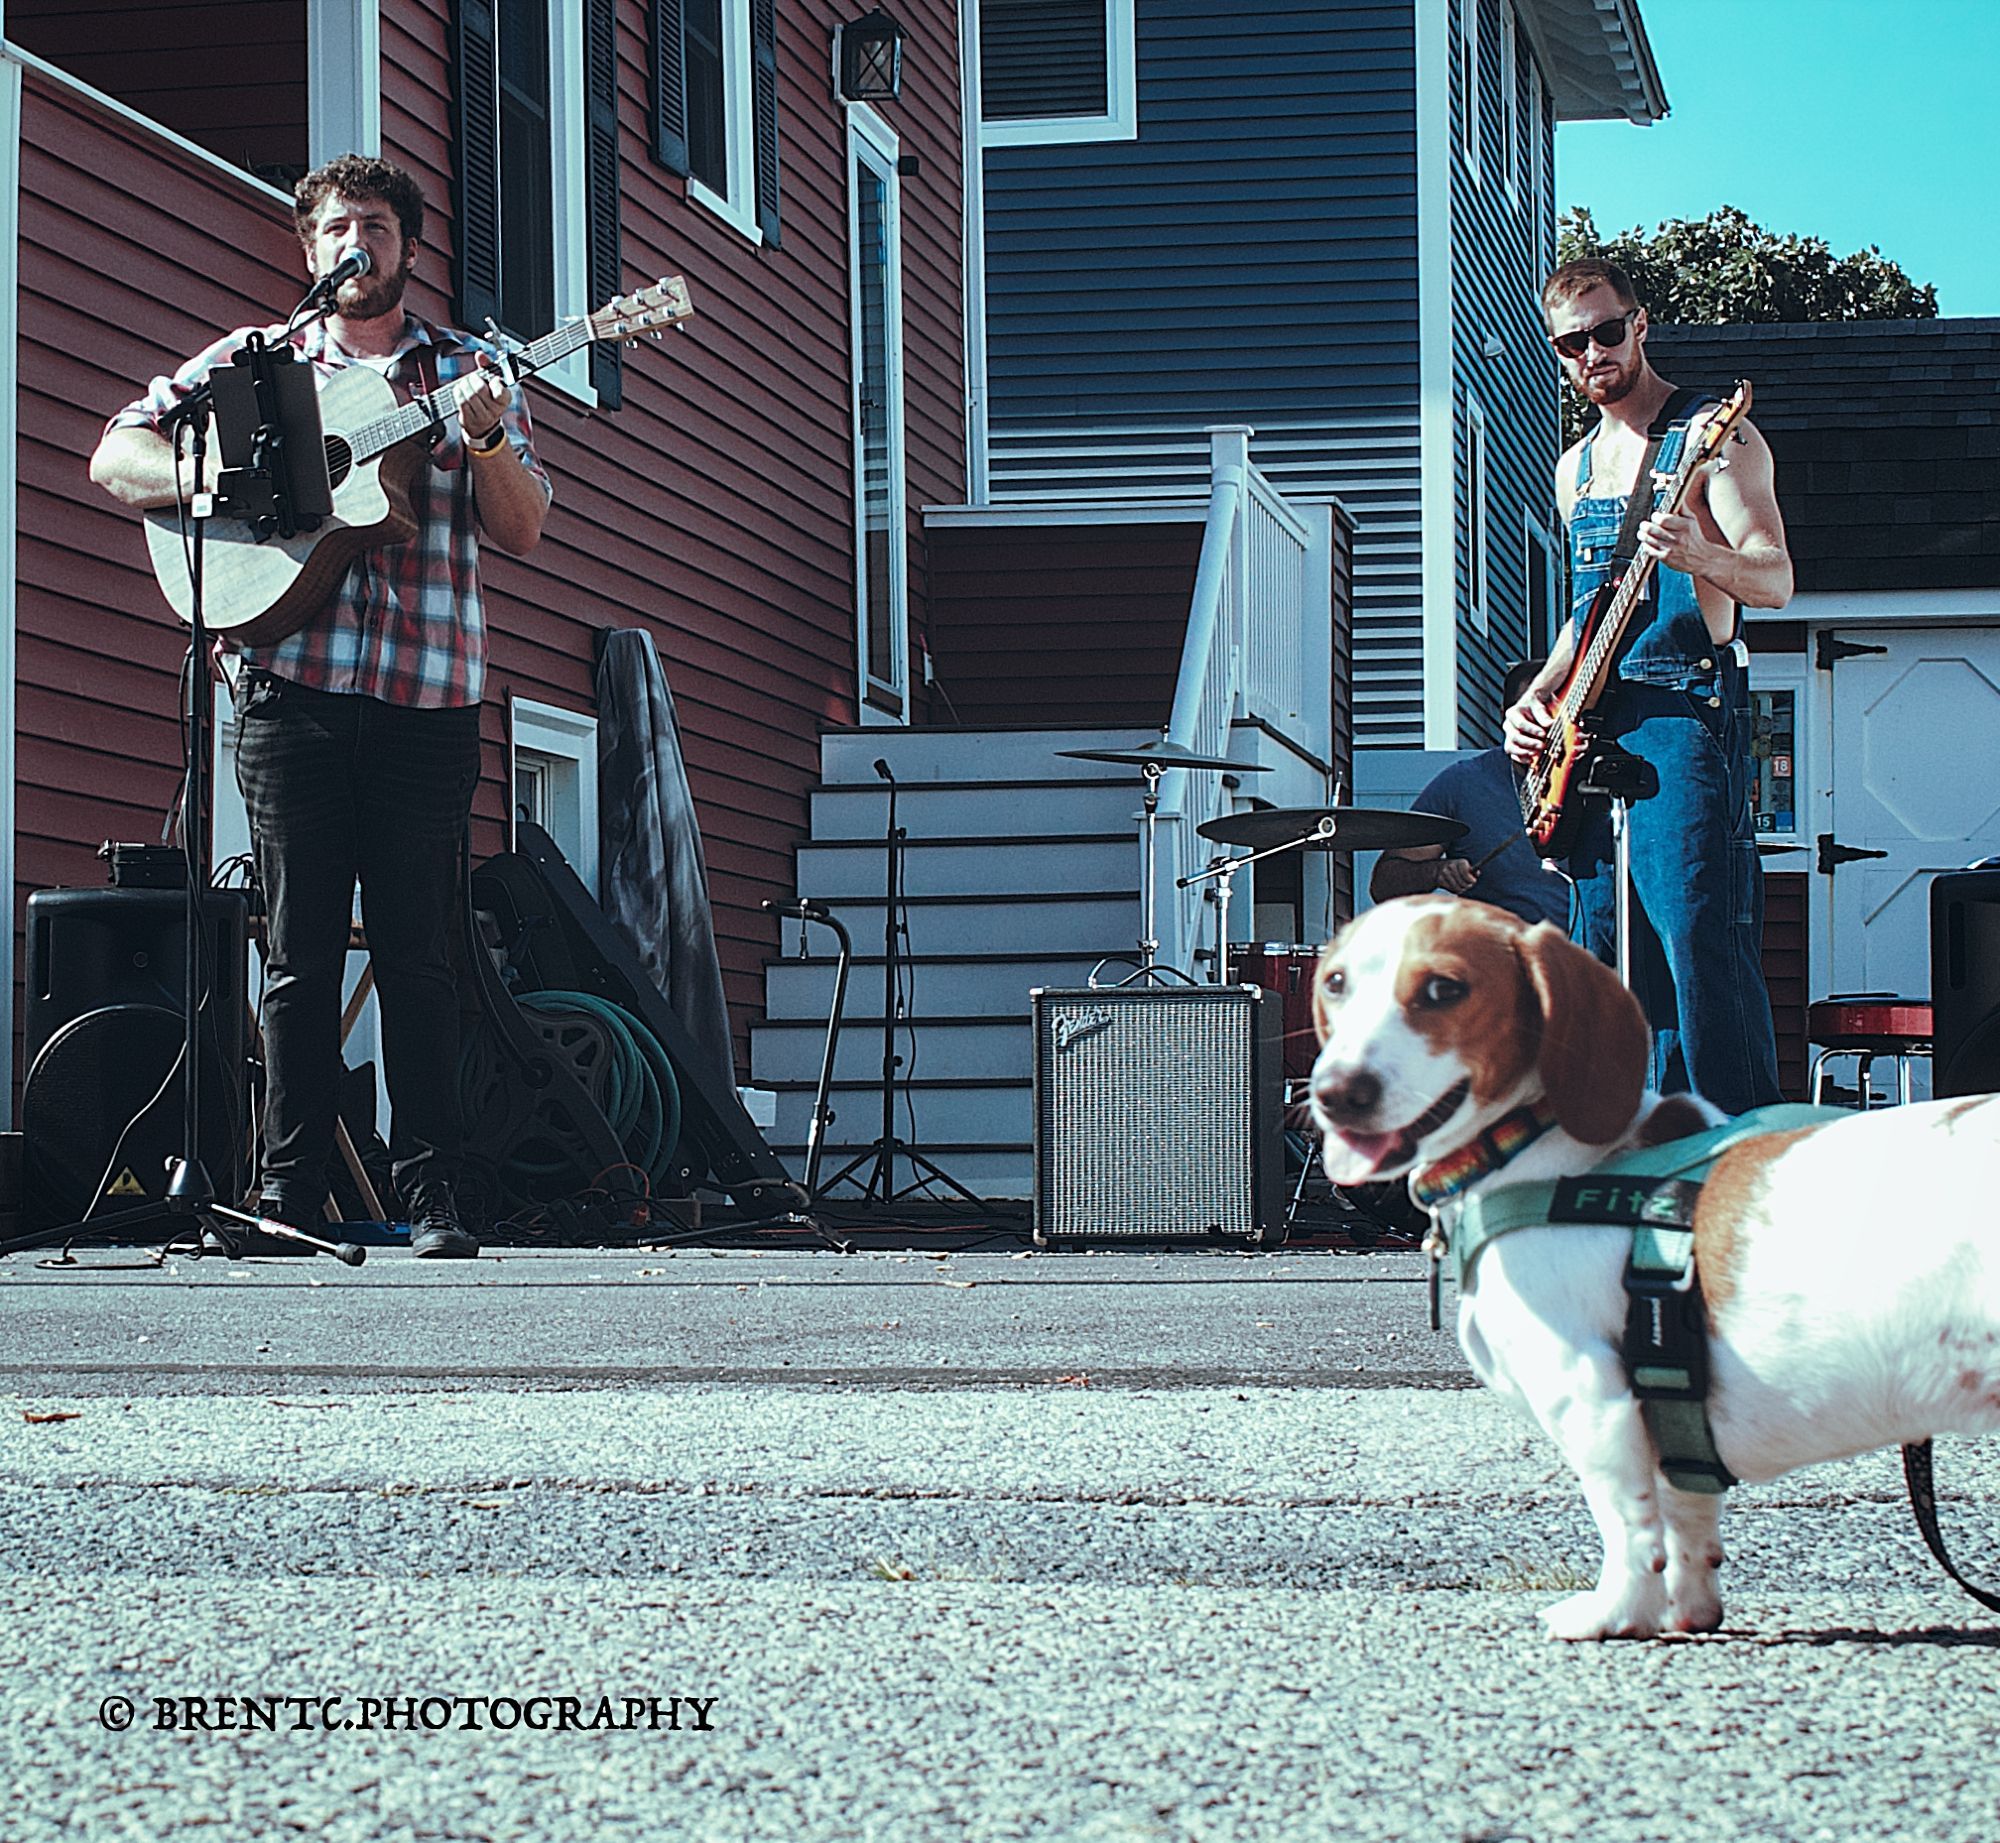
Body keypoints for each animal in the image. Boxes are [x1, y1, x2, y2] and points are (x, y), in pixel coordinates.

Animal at [1304, 895, 2000, 1639]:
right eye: (1336, 982)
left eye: (1443, 988)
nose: (1337, 1092)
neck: (1536, 1150)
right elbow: (1686, 1518)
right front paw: (1687, 1607)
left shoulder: (1591, 1398)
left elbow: (1629, 1524)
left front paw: (1615, 1610)